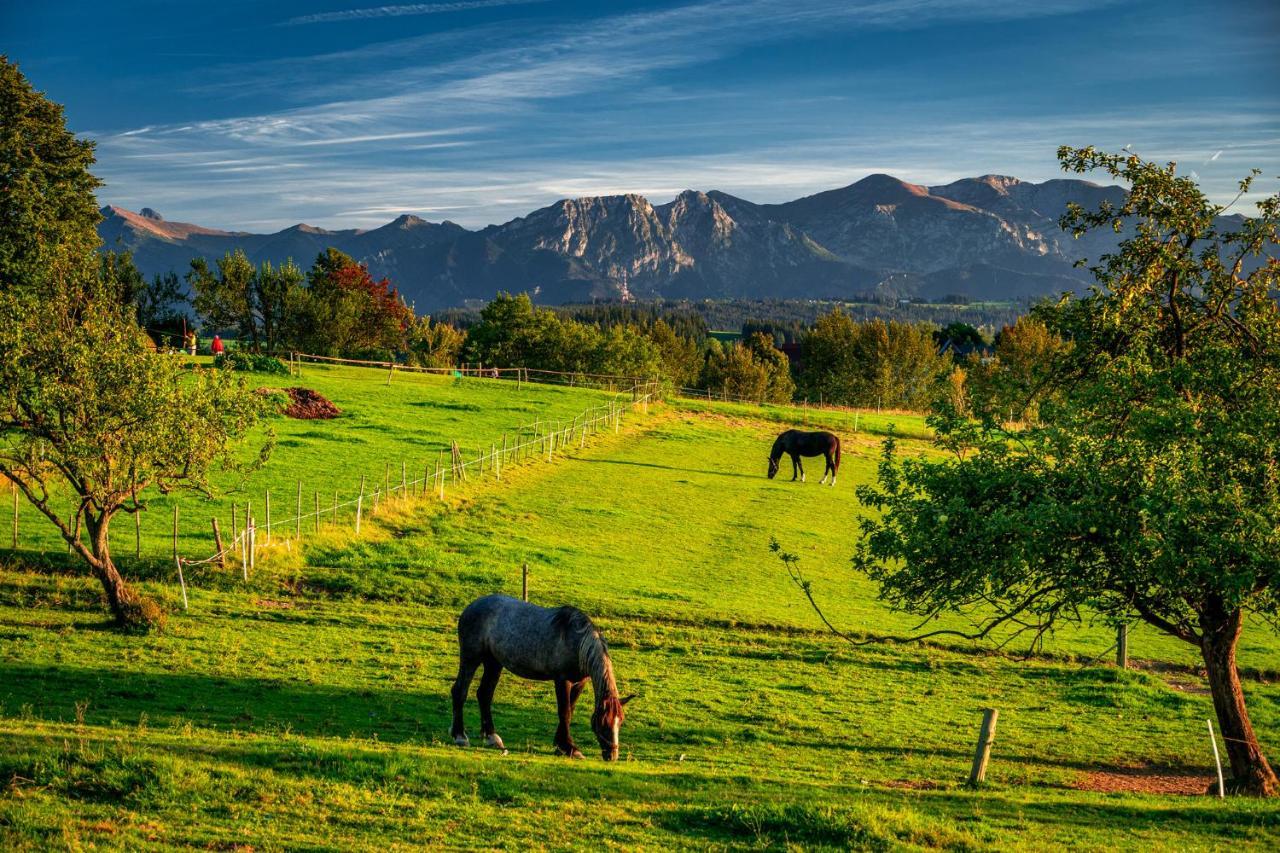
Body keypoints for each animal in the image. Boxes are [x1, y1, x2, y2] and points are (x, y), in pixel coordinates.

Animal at [450, 591, 634, 758]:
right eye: (602, 722)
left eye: (620, 721)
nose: (612, 755)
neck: (576, 642)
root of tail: (472, 606)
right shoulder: (562, 680)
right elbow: (565, 712)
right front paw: (569, 748)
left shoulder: (580, 682)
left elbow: (571, 709)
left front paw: (560, 745)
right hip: (471, 658)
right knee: (460, 691)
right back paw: (460, 736)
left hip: (493, 662)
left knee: (485, 694)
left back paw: (492, 738)